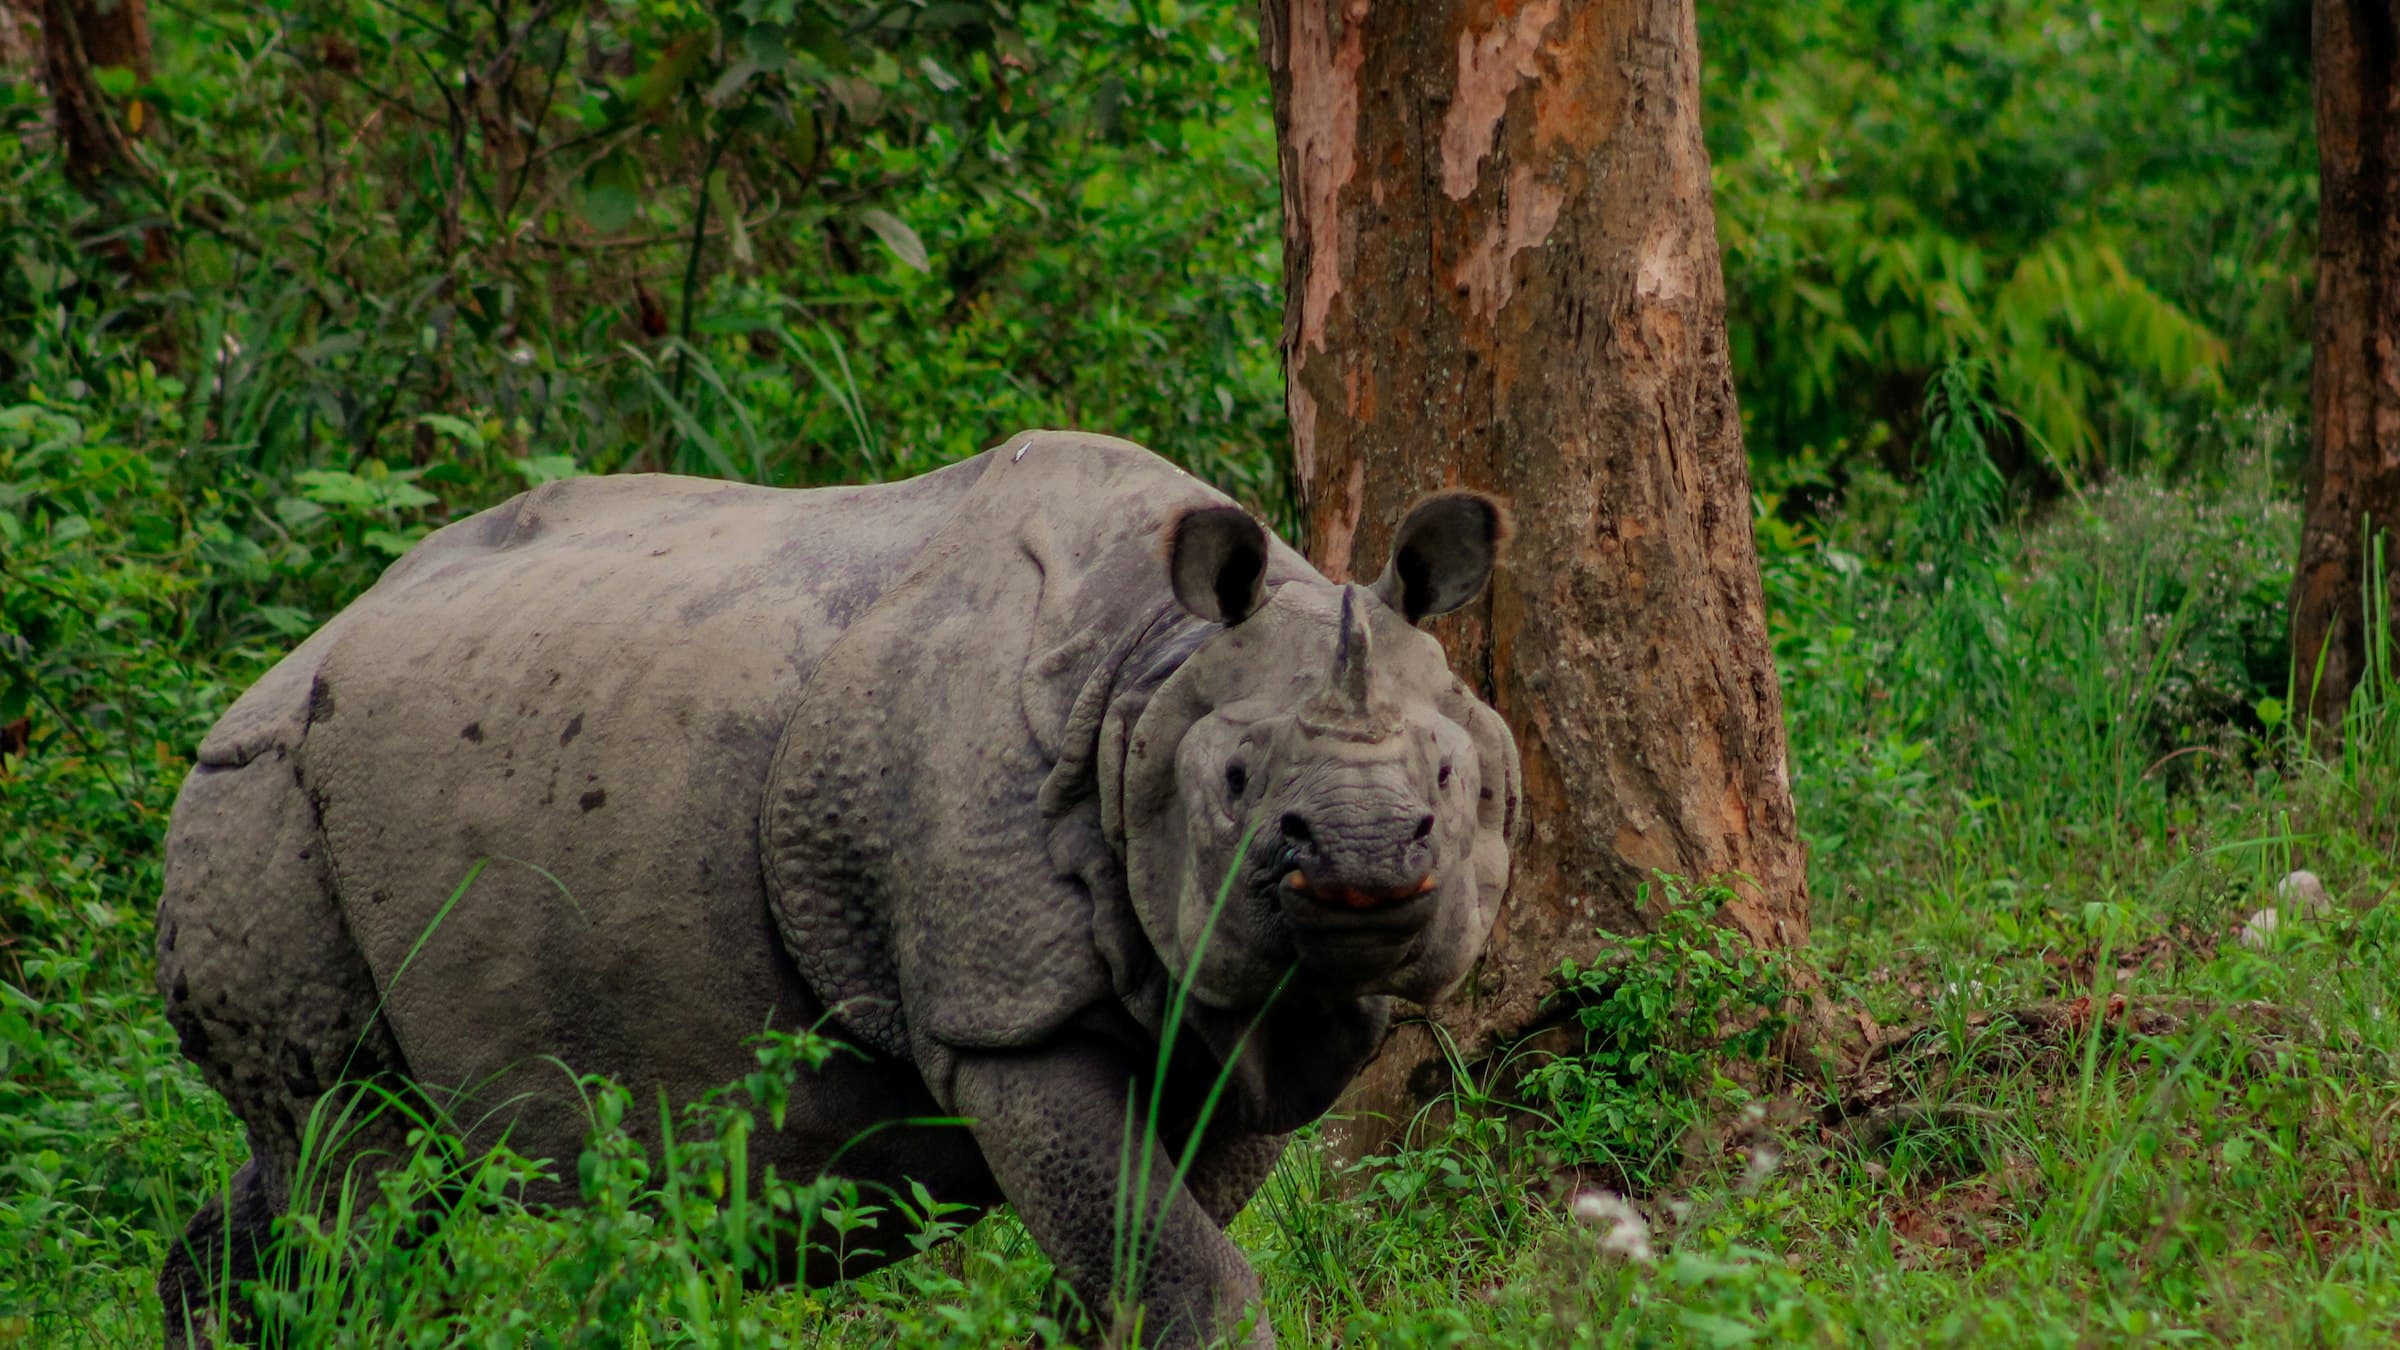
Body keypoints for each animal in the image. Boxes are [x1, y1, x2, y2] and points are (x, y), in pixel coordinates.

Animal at [155, 431, 1520, 1347]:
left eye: (1451, 777)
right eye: (1236, 781)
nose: (1363, 864)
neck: (1151, 681)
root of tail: (278, 668)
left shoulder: (1238, 1019)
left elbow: (1142, 1259)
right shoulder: (997, 1019)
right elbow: (1181, 1271)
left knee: (332, 1163)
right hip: (257, 801)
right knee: (355, 1167)